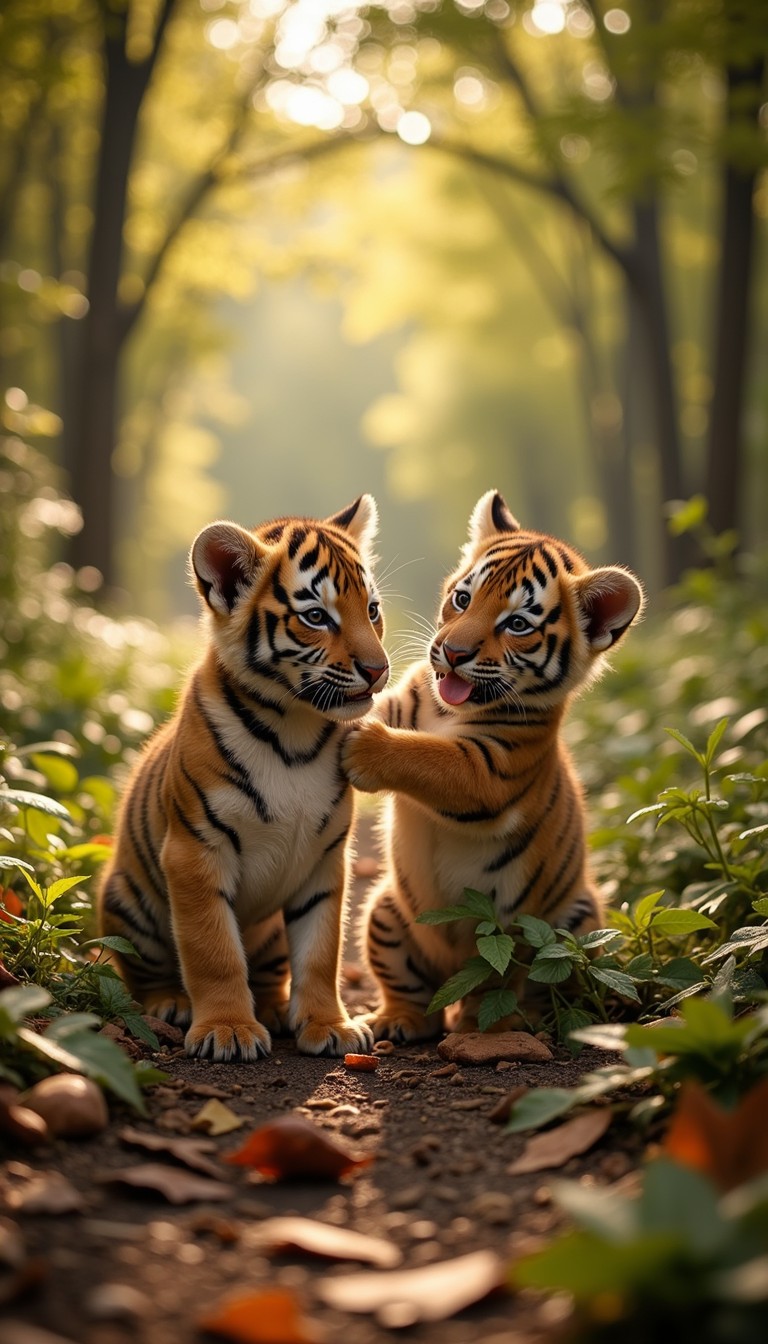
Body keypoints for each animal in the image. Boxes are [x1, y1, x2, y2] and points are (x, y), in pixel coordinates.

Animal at [99, 495, 389, 1062]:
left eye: (371, 610)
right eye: (316, 617)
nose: (378, 669)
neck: (294, 729)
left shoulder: (325, 860)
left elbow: (320, 953)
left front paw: (330, 1026)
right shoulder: (194, 851)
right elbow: (213, 951)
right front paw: (227, 1029)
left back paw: (274, 1009)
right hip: (128, 900)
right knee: (145, 976)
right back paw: (173, 1004)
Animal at [342, 489, 644, 1043]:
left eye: (518, 624)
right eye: (463, 599)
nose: (451, 652)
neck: (446, 711)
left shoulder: (491, 771)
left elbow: (431, 757)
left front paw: (364, 748)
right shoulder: (402, 704)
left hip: (564, 925)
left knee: (517, 985)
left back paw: (497, 1023)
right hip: (384, 911)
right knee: (420, 998)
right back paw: (397, 1019)